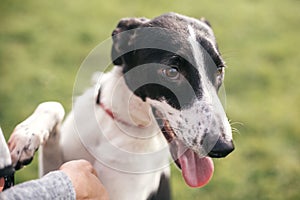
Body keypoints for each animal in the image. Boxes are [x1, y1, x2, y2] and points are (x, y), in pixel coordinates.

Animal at [7, 12, 234, 200]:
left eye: (219, 70)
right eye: (171, 72)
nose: (223, 147)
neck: (120, 125)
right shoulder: (57, 170)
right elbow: (53, 105)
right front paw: (26, 136)